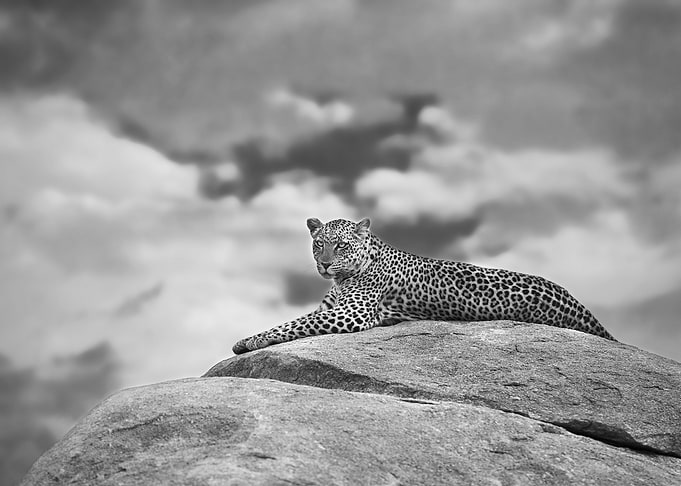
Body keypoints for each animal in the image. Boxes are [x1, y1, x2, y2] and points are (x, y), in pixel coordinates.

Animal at [232, 218, 616, 354]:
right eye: (318, 244)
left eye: (340, 245)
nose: (324, 263)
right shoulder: (332, 307)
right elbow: (295, 320)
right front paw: (248, 339)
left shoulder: (351, 313)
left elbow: (295, 324)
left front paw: (251, 341)